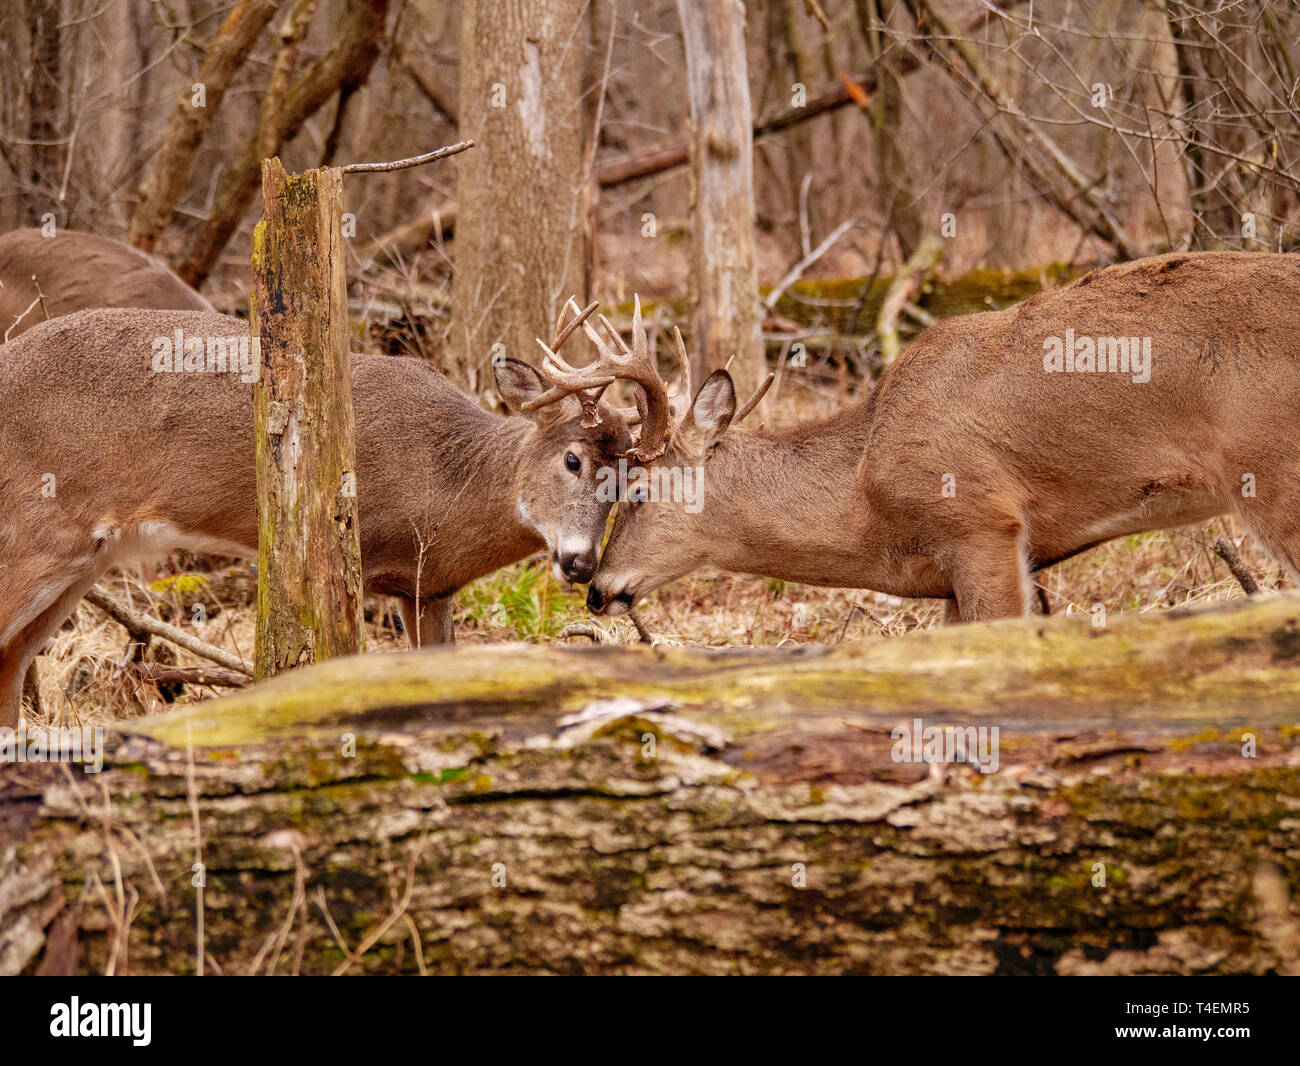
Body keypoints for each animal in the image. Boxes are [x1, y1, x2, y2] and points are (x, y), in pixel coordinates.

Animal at [0, 293, 686, 722]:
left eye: (628, 484)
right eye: (572, 460)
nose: (579, 565)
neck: (445, 482)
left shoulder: (427, 588)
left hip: (86, 556)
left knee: (9, 663)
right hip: (35, 527)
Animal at [587, 252, 1300, 624]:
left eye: (638, 490)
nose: (594, 589)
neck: (864, 491)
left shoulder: (981, 523)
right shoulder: (952, 580)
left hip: (1274, 471)